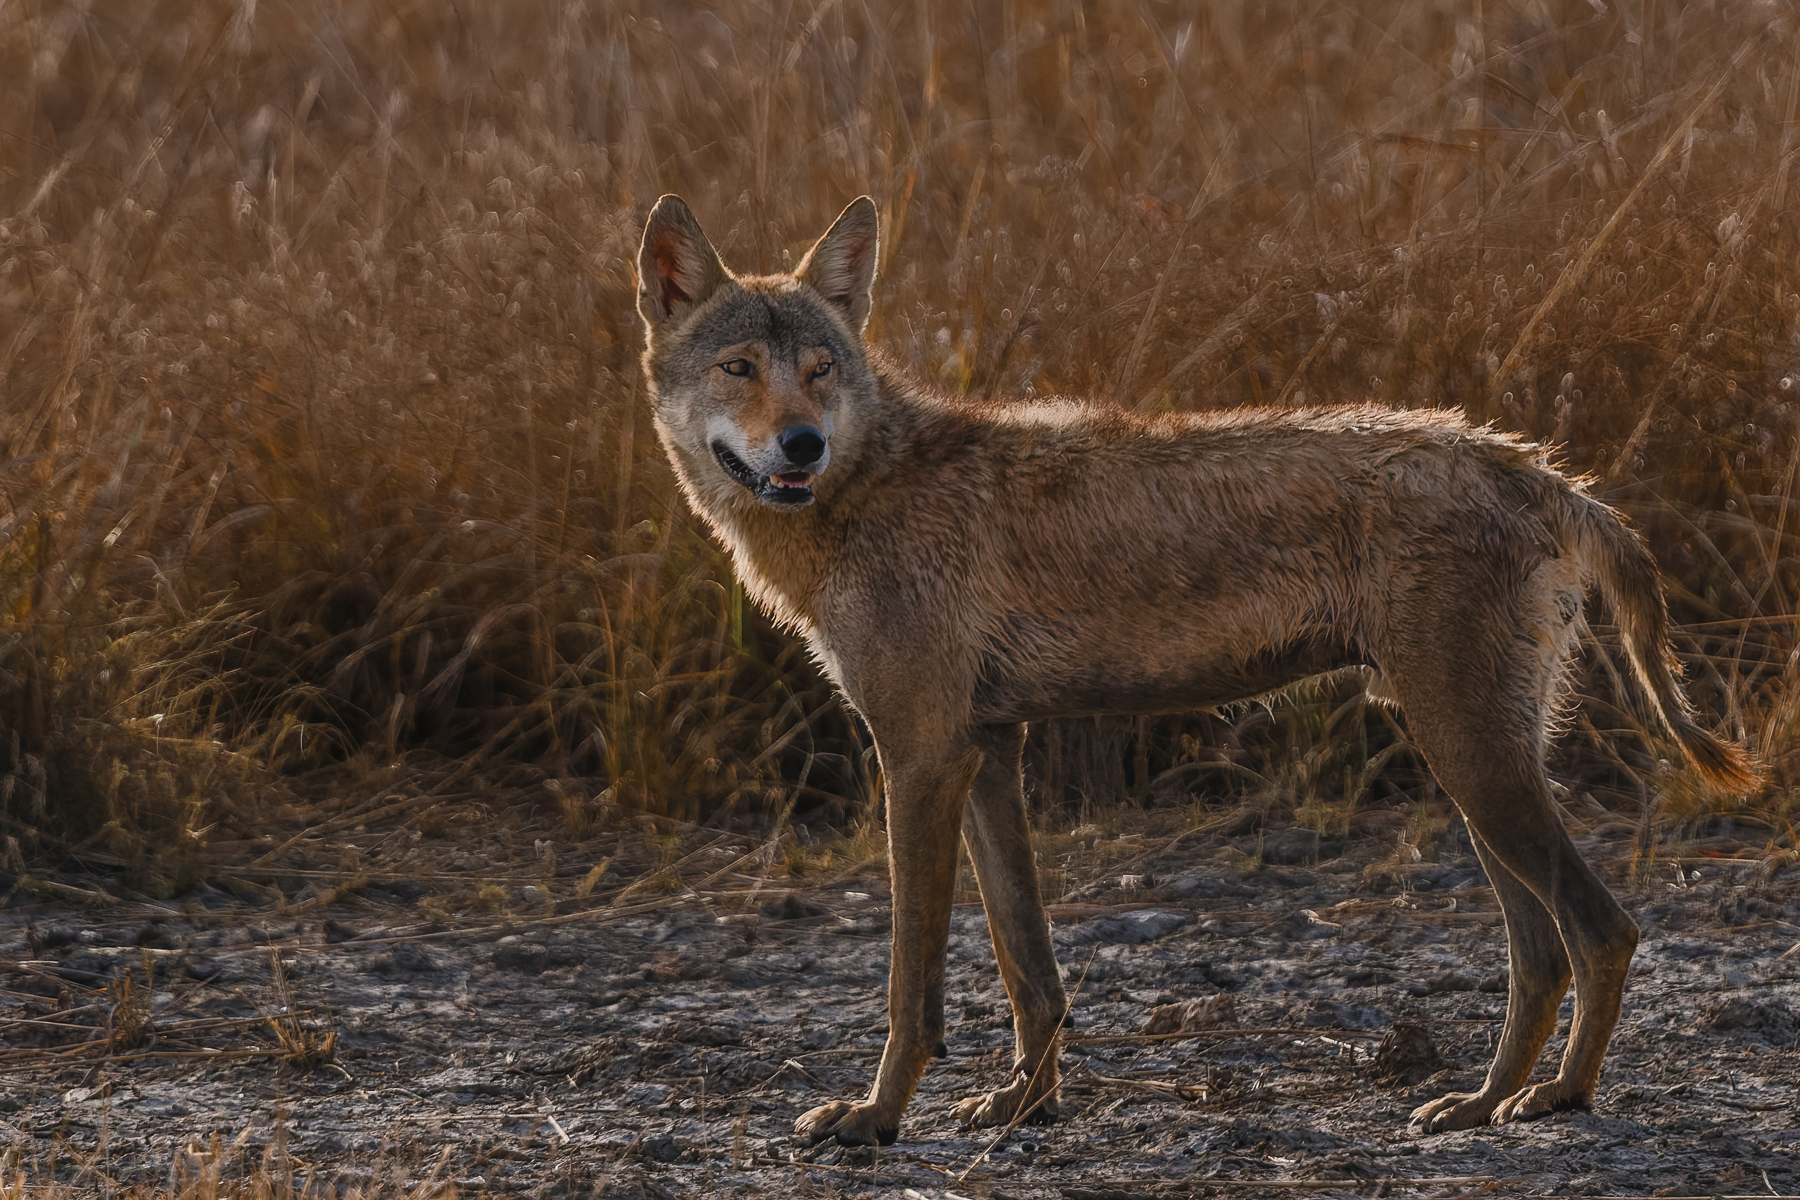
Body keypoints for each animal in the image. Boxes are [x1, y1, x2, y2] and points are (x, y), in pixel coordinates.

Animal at [633, 194, 1758, 1148]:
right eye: (740, 367)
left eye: (820, 369)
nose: (802, 446)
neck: (871, 488)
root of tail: (1542, 471)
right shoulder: (988, 751)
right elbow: (1030, 968)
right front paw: (1024, 1106)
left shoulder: (918, 759)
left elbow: (915, 984)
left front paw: (873, 1119)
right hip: (1472, 771)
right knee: (1543, 951)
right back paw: (1480, 1103)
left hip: (1472, 761)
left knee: (1603, 929)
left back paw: (1557, 1100)